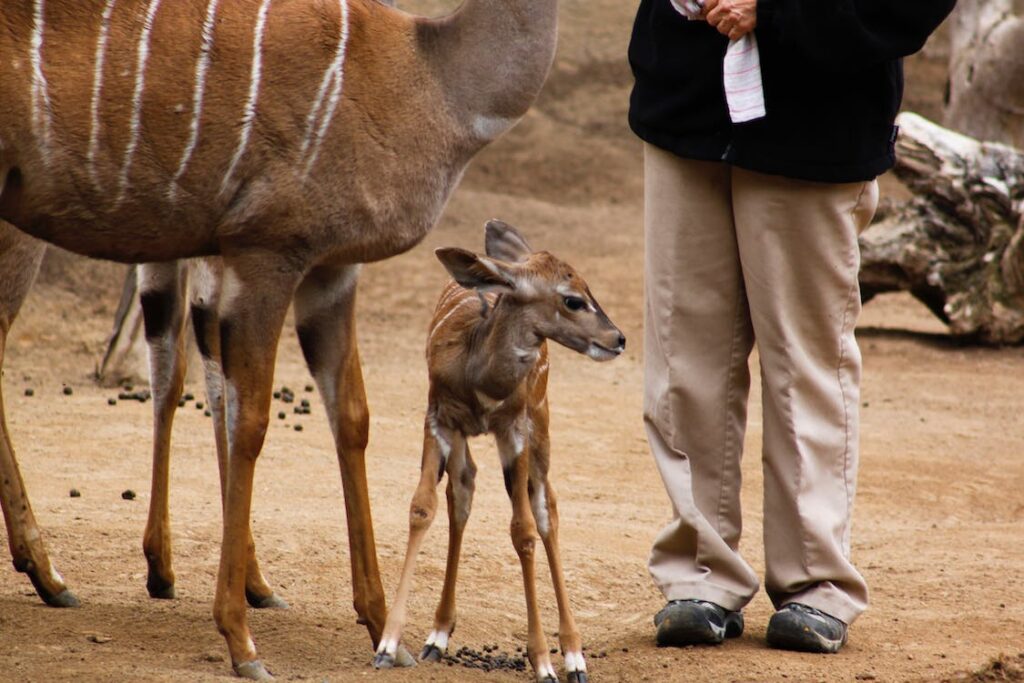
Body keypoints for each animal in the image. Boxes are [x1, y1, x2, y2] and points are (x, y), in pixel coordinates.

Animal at [372, 222, 618, 679]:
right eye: (573, 299)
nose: (618, 338)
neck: (481, 375)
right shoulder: (439, 417)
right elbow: (423, 507)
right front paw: (388, 644)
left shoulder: (514, 429)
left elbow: (523, 530)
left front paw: (544, 663)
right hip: (470, 439)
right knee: (463, 491)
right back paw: (438, 634)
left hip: (541, 426)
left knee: (546, 507)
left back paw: (574, 656)